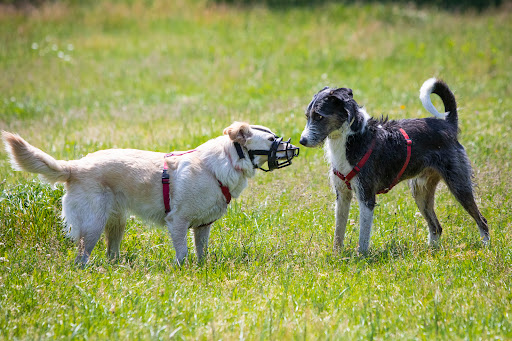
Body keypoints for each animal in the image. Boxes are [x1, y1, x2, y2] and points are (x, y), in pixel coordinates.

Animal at [2, 122, 298, 266]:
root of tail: (74, 166)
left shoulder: (202, 226)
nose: (294, 147)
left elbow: (201, 253)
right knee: (81, 258)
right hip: (93, 224)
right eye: (271, 140)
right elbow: (183, 255)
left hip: (116, 223)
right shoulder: (177, 222)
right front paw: (183, 272)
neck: (224, 162)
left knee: (111, 254)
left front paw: (203, 270)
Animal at [302, 77, 490, 252]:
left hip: (459, 185)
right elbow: (338, 231)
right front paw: (337, 255)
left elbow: (363, 235)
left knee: (482, 220)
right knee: (436, 226)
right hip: (420, 190)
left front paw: (361, 257)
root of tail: (448, 124)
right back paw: (431, 252)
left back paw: (486, 247)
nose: (302, 141)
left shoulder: (366, 197)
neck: (351, 137)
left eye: (319, 116)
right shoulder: (342, 195)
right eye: (307, 116)